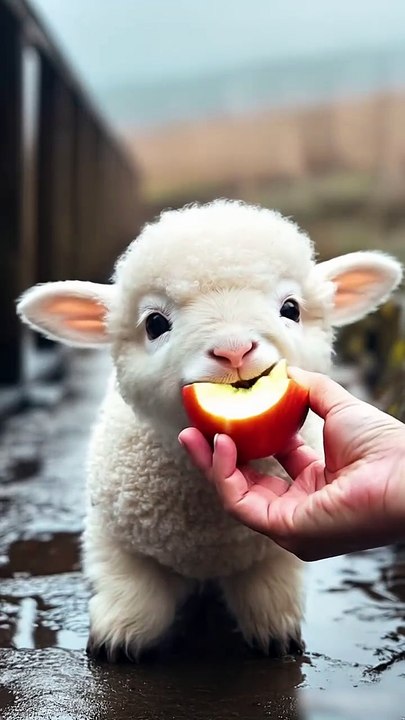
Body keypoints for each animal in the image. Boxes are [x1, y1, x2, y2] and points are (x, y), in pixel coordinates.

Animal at [17, 199, 402, 660]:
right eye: (155, 324)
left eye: (291, 309)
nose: (234, 350)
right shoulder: (114, 539)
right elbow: (133, 593)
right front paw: (117, 641)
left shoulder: (271, 555)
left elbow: (268, 592)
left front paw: (277, 637)